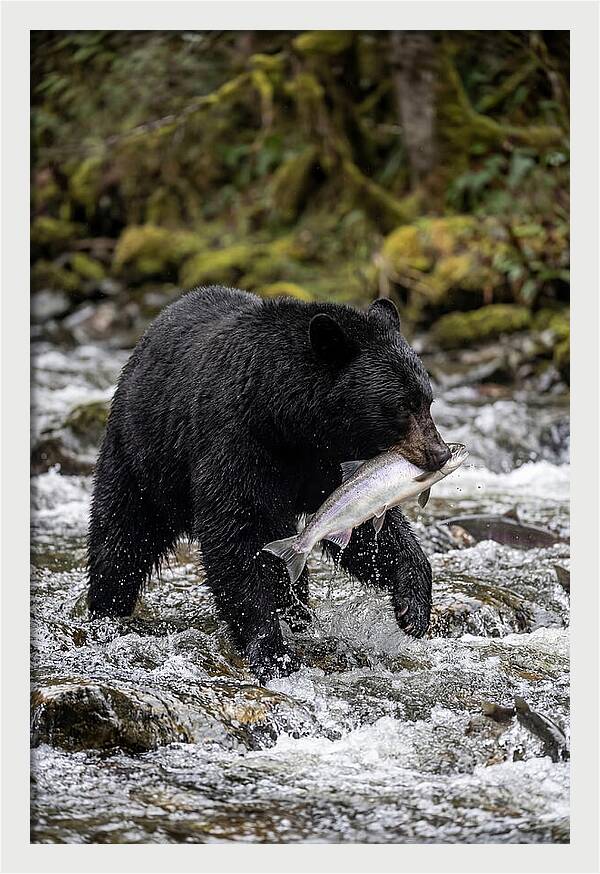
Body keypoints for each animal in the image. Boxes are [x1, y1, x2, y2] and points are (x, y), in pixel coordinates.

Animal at [88, 286, 450, 683]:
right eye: (401, 406)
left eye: (428, 401)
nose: (441, 453)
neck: (288, 420)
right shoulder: (238, 441)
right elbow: (236, 533)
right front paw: (272, 651)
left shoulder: (329, 463)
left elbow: (363, 525)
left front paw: (413, 607)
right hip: (143, 455)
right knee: (121, 535)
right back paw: (106, 609)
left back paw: (298, 613)